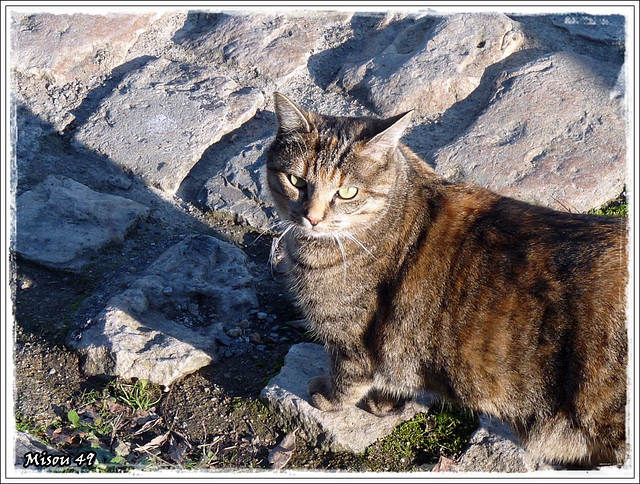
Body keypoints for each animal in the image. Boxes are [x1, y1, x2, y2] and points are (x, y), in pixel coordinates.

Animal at [266, 92, 632, 466]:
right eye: (297, 181)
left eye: (348, 192)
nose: (311, 217)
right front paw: (387, 402)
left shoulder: (350, 340)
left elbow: (347, 378)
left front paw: (328, 396)